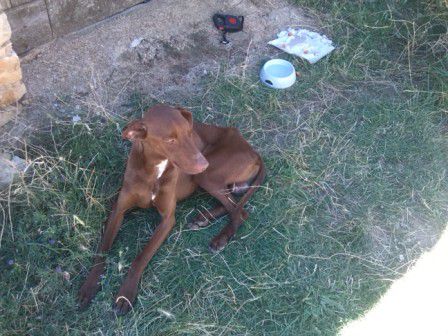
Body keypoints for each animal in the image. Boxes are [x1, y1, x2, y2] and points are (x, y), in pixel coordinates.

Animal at [78, 103, 264, 314]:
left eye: (189, 133)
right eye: (170, 140)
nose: (203, 163)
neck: (155, 168)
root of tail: (253, 151)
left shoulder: (168, 220)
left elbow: (140, 258)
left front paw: (125, 294)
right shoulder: (118, 210)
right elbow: (101, 252)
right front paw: (89, 285)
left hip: (206, 176)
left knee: (240, 211)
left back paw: (220, 238)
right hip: (207, 178)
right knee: (233, 205)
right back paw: (202, 218)